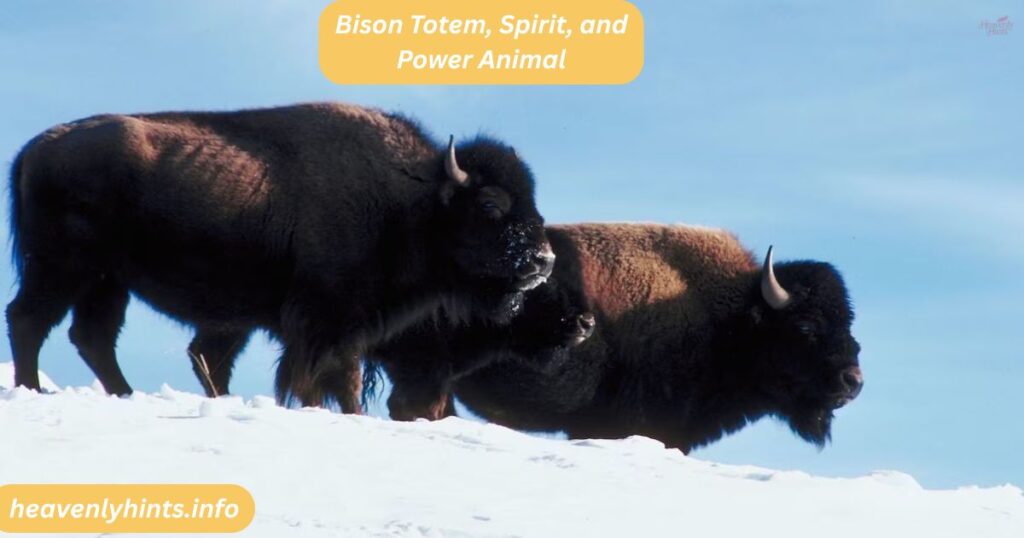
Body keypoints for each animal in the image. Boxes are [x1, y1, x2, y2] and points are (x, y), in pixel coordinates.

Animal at [7, 102, 554, 412]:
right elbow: (331, 379)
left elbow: (338, 377)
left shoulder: (342, 328)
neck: (411, 199)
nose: (544, 261)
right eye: (490, 205)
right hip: (61, 268)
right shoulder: (324, 322)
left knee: (92, 336)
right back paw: (33, 391)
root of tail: (34, 149)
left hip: (107, 281)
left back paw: (124, 394)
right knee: (29, 320)